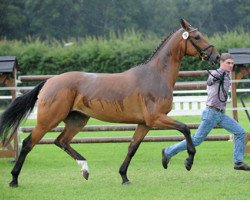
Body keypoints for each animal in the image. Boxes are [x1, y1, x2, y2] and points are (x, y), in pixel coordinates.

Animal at [0, 19, 219, 188]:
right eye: (197, 37)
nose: (216, 56)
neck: (155, 75)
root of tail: (50, 81)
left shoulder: (144, 124)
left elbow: (132, 148)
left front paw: (124, 177)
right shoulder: (156, 118)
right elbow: (185, 129)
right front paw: (188, 161)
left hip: (77, 120)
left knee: (61, 141)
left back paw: (85, 169)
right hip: (49, 120)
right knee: (29, 143)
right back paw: (14, 180)